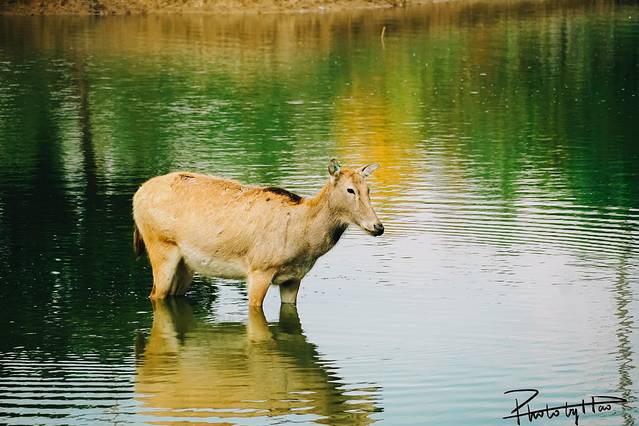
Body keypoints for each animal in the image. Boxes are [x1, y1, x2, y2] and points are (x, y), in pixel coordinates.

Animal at [132, 159, 383, 306]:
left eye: (368, 189)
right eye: (350, 190)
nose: (378, 227)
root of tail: (137, 196)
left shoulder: (294, 279)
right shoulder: (259, 269)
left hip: (186, 265)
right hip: (160, 247)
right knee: (155, 293)